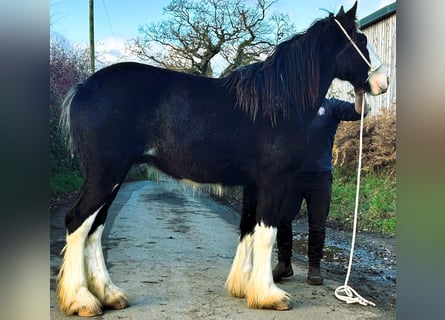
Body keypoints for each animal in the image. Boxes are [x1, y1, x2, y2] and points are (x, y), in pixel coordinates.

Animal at [57, 2, 386, 316]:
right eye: (361, 39)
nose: (382, 82)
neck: (279, 101)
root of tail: (83, 88)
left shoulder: (253, 184)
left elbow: (248, 228)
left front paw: (243, 287)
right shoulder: (273, 180)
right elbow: (267, 232)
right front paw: (269, 295)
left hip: (114, 176)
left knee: (95, 227)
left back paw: (109, 295)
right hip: (106, 174)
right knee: (78, 222)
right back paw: (81, 300)